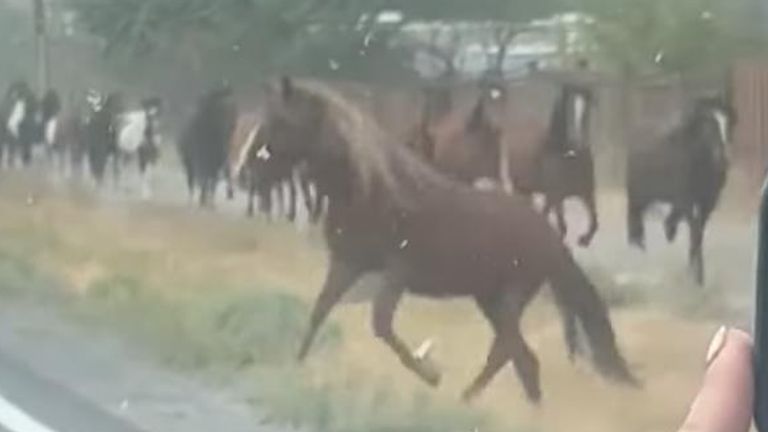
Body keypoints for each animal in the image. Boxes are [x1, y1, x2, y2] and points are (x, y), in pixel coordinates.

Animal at [254, 77, 636, 402]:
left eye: (282, 121)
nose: (254, 170)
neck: (372, 191)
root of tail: (551, 240)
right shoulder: (347, 264)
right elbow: (319, 312)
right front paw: (295, 367)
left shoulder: (397, 270)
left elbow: (381, 324)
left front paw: (431, 375)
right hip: (489, 298)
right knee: (519, 357)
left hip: (509, 297)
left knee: (513, 353)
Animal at [628, 95, 736, 286]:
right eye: (707, 126)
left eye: (727, 124)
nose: (723, 160)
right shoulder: (686, 199)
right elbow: (694, 231)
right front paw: (698, 276)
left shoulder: (707, 203)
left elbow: (697, 232)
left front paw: (694, 270)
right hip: (638, 192)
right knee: (634, 214)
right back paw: (638, 243)